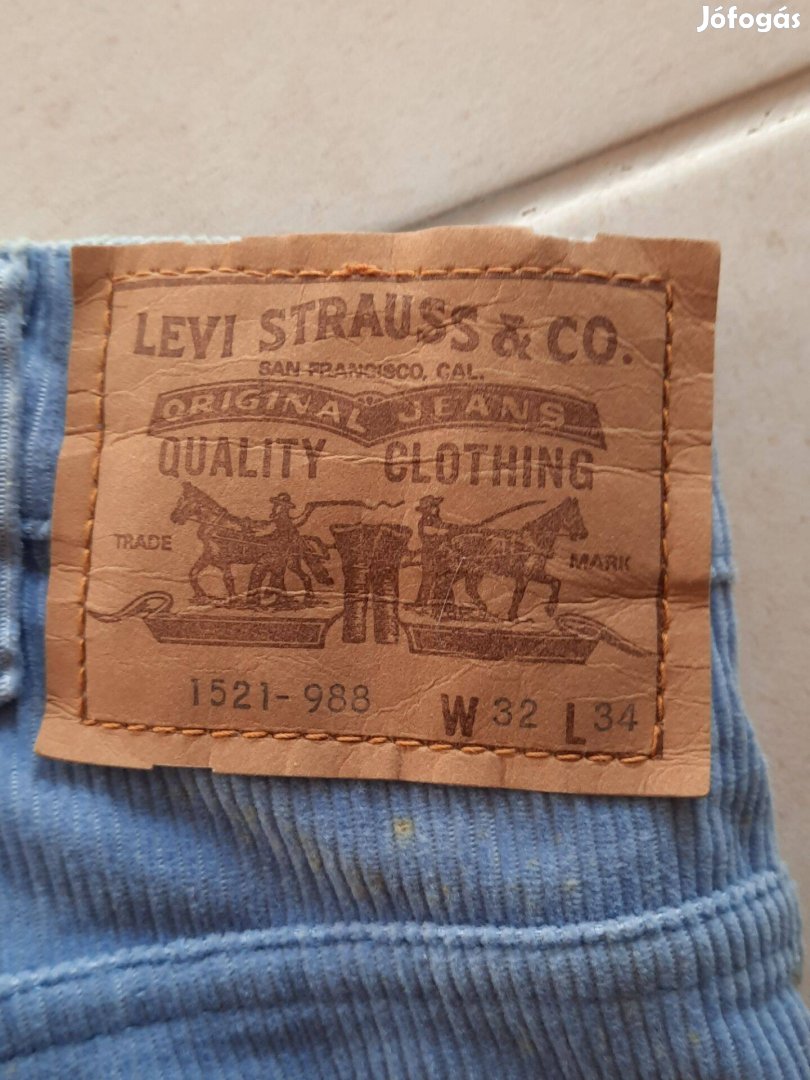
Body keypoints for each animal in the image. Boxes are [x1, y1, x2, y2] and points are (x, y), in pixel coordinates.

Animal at [169, 482, 333, 607]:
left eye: (182, 499)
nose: (174, 517)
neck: (215, 526)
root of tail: (295, 532)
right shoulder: (208, 556)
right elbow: (193, 573)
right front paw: (200, 596)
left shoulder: (222, 561)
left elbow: (227, 579)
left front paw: (233, 600)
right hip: (287, 562)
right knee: (293, 578)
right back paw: (288, 600)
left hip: (283, 561)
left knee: (286, 577)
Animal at [442, 496, 588, 622]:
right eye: (576, 516)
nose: (584, 534)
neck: (534, 542)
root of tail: (453, 540)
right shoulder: (528, 575)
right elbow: (521, 596)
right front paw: (517, 616)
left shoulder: (529, 575)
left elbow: (554, 583)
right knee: (450, 582)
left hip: (471, 572)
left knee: (465, 587)